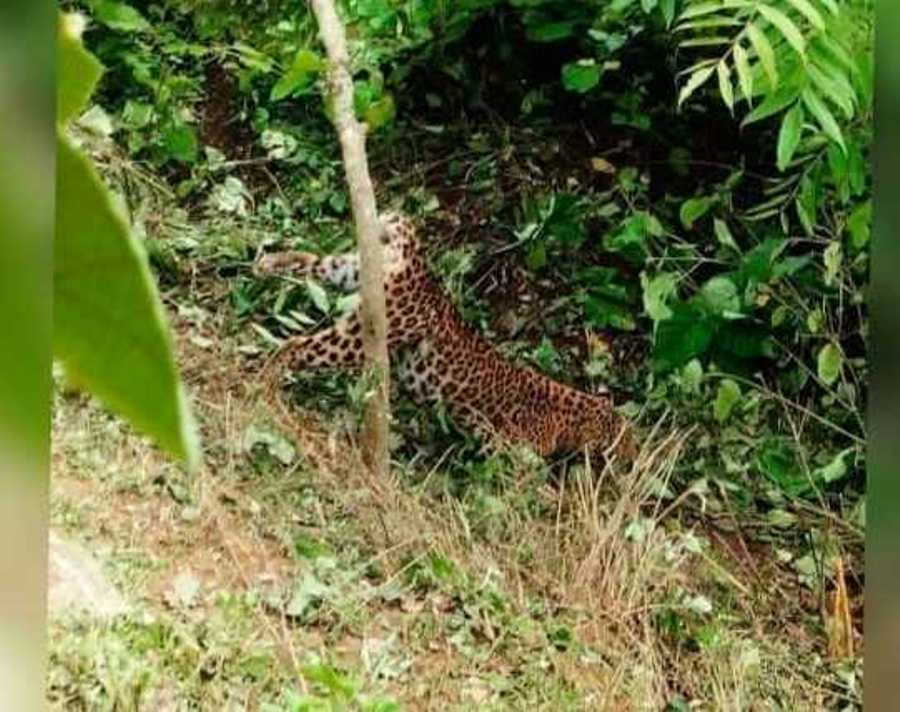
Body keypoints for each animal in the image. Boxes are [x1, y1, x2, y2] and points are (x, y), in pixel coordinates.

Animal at [253, 211, 632, 462]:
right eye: (625, 440)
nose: (630, 460)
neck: (575, 412)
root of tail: (418, 264)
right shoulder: (501, 443)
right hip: (363, 334)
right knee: (295, 345)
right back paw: (265, 389)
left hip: (353, 271)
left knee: (315, 261)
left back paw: (268, 263)